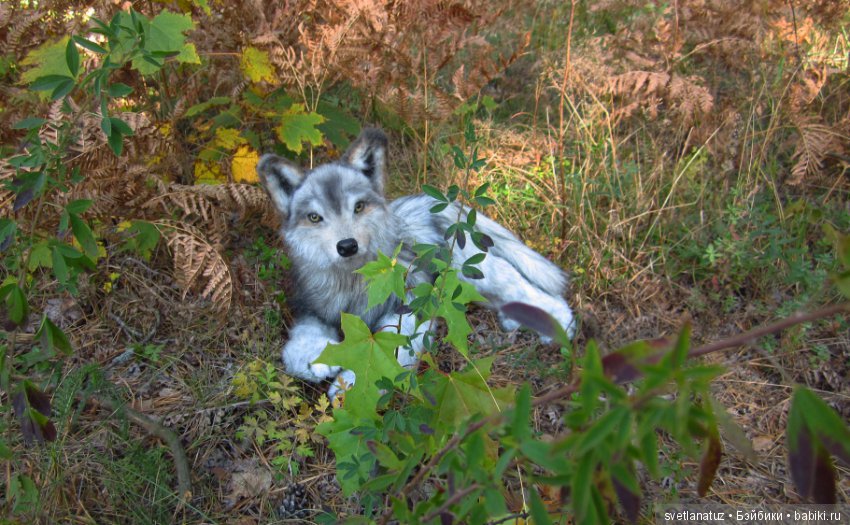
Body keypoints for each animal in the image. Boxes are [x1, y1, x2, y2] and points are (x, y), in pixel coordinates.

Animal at [257, 128, 575, 395]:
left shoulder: (409, 308)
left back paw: (558, 323)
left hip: (477, 273)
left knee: (526, 288)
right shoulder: (311, 310)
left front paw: (351, 384)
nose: (347, 246)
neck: (354, 279)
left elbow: (386, 348)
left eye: (358, 207)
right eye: (314, 217)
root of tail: (433, 203)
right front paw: (318, 360)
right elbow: (296, 350)